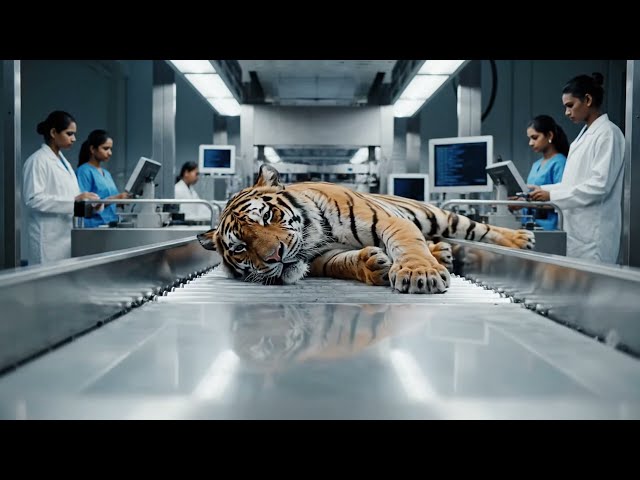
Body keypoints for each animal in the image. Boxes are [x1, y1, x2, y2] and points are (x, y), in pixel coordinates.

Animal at [197, 163, 534, 294]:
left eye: (266, 216)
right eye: (240, 247)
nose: (274, 257)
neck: (317, 238)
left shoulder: (389, 220)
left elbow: (408, 243)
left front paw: (420, 274)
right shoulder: (321, 258)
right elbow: (340, 264)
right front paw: (371, 265)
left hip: (434, 214)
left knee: (476, 228)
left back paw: (520, 238)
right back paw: (441, 252)